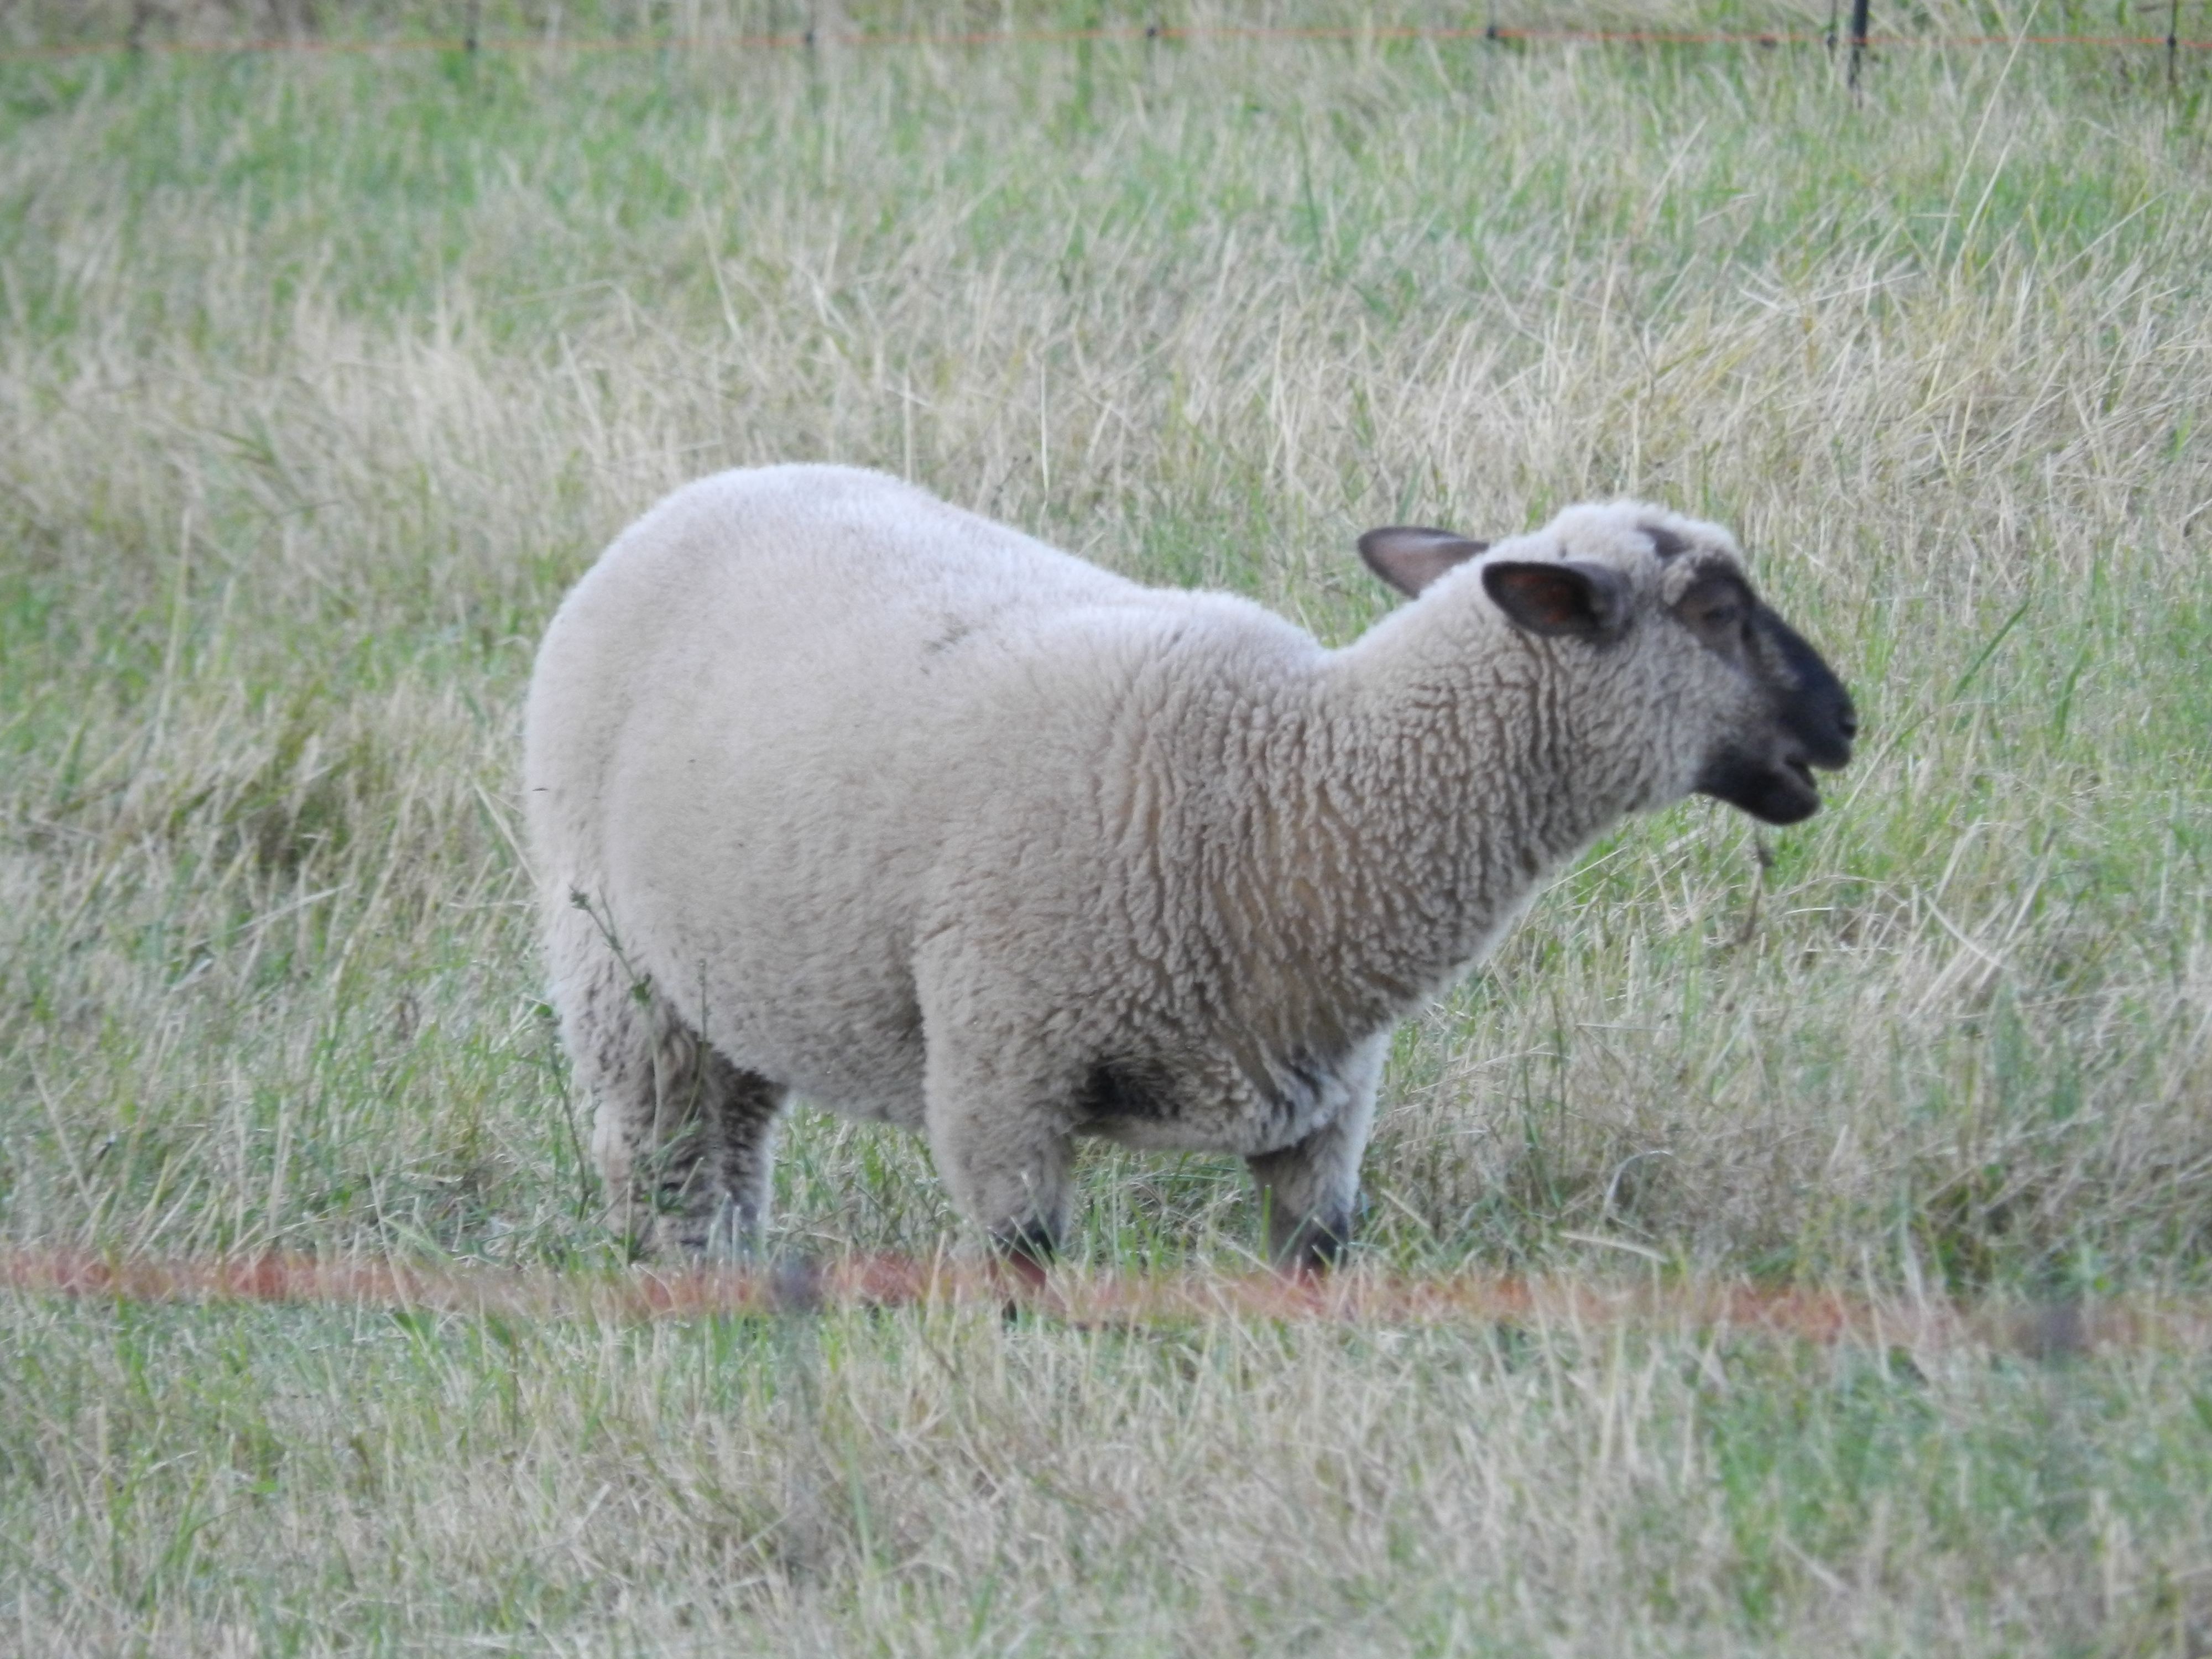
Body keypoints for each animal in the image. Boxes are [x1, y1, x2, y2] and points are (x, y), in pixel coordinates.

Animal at [523, 464, 1856, 1269]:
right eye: (1712, 610)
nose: (1846, 725)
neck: (1288, 784)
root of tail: (702, 491)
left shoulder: (1323, 1120)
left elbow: (1310, 1271)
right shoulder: (999, 1083)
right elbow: (1024, 1281)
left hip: (733, 982)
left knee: (727, 1157)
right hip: (617, 970)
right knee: (660, 1165)